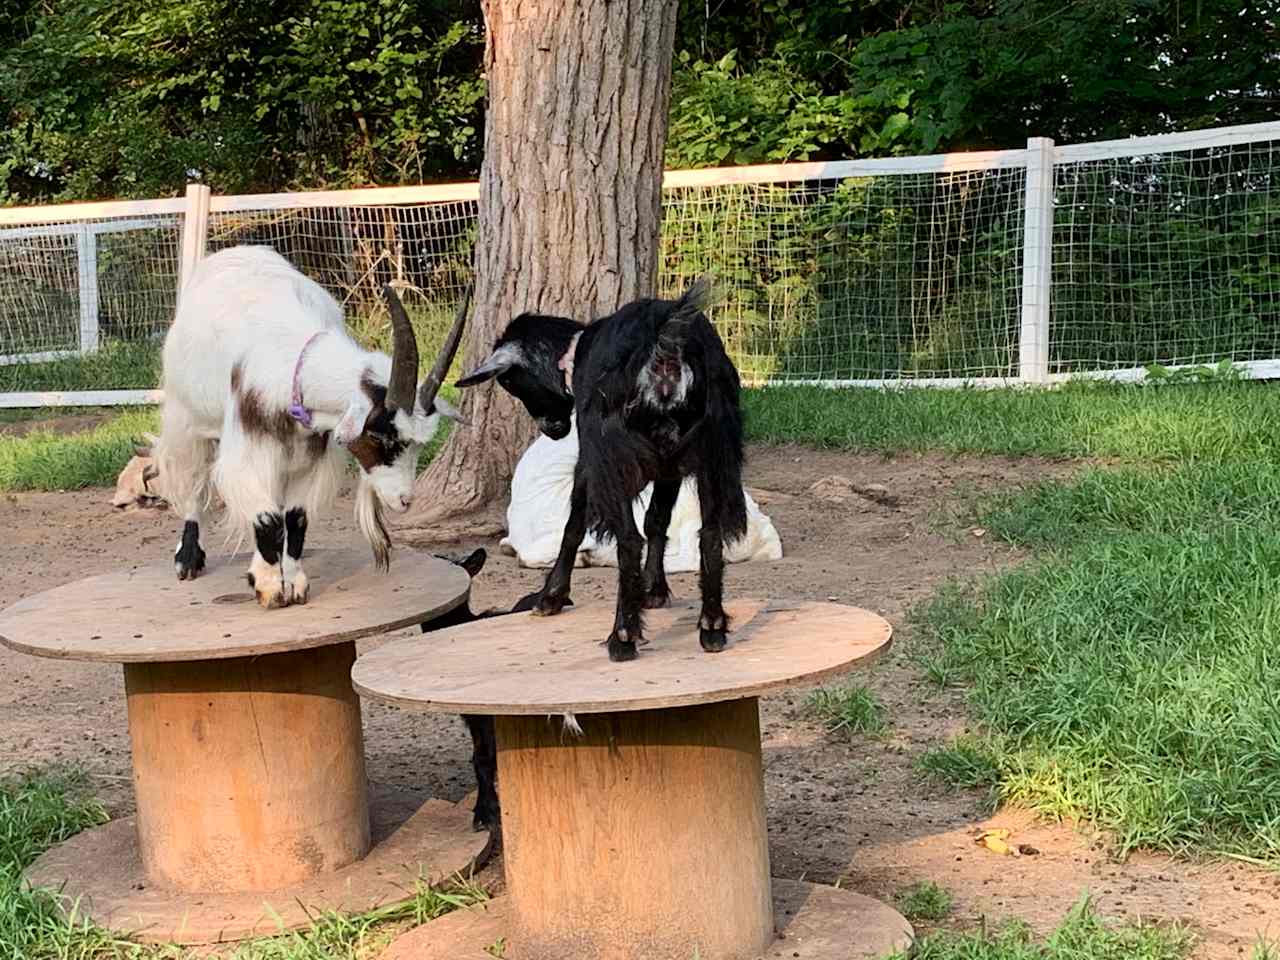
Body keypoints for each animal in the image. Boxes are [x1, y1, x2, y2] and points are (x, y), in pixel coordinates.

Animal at [154, 245, 465, 609]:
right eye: (379, 435)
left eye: (417, 444)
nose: (404, 501)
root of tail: (237, 250)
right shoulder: (247, 447)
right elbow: (266, 517)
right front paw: (269, 586)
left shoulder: (314, 448)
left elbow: (295, 516)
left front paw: (293, 583)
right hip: (187, 413)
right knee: (194, 478)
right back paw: (188, 558)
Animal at [419, 552, 570, 839]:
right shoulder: (473, 717)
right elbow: (479, 758)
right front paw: (485, 809)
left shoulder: (485, 714)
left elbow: (486, 758)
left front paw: (486, 811)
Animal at [458, 277, 742, 660]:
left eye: (510, 382)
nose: (552, 430)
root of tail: (666, 341)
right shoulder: (669, 465)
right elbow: (657, 520)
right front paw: (654, 590)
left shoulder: (591, 455)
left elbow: (574, 523)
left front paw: (551, 596)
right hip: (715, 451)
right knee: (709, 534)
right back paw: (711, 626)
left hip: (614, 457)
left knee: (628, 540)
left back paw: (622, 636)